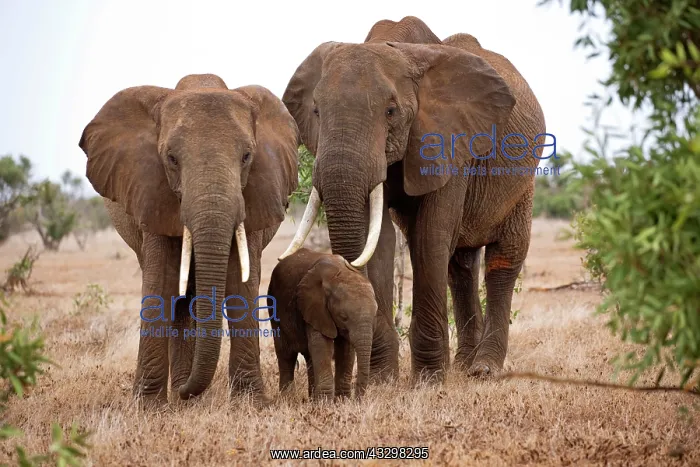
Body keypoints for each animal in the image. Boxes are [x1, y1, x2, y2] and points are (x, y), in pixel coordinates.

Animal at [78, 73, 299, 406]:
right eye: (171, 158)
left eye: (247, 156)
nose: (186, 392)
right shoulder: (151, 193)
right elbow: (160, 286)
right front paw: (147, 407)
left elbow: (242, 286)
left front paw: (252, 403)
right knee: (180, 297)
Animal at [267, 248, 377, 400]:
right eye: (343, 317)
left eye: (375, 315)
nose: (357, 400)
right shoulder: (314, 306)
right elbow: (322, 346)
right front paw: (326, 403)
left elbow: (346, 349)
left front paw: (342, 401)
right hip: (274, 307)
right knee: (286, 354)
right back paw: (287, 399)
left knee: (309, 356)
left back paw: (312, 399)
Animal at [279, 16, 548, 383]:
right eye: (316, 111)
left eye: (391, 111)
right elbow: (379, 240)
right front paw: (383, 380)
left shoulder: (450, 141)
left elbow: (430, 236)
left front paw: (429, 380)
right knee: (460, 267)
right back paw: (463, 366)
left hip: (522, 182)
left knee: (503, 260)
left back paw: (483, 370)